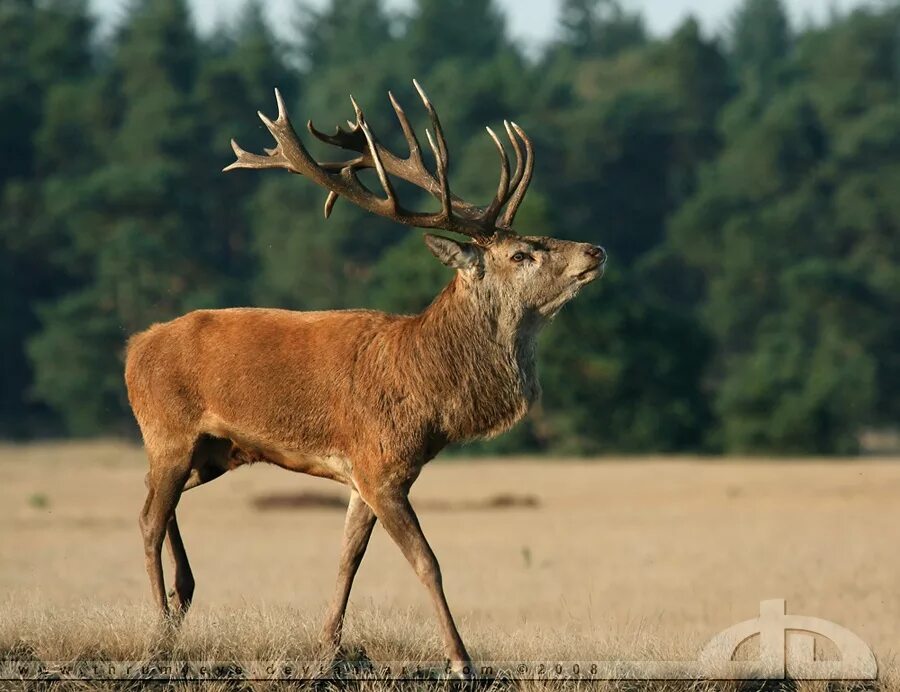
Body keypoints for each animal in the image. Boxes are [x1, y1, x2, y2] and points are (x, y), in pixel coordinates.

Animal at [125, 79, 604, 676]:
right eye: (521, 254)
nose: (595, 249)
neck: (430, 392)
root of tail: (134, 348)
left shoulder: (368, 475)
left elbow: (348, 557)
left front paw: (328, 647)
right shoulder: (379, 465)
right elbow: (426, 561)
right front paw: (460, 659)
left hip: (213, 451)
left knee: (154, 500)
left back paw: (181, 599)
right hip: (169, 430)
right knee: (148, 519)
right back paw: (158, 634)